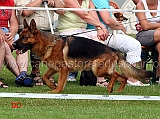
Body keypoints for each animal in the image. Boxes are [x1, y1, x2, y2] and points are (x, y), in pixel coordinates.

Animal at [12, 19, 154, 93]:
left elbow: (60, 83)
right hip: (100, 70)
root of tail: (114, 50)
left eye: (24, 38)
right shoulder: (54, 68)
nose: (13, 44)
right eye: (20, 36)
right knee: (122, 76)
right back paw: (117, 91)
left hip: (97, 69)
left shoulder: (63, 69)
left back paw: (110, 88)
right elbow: (45, 77)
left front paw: (56, 91)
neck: (49, 44)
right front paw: (52, 86)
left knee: (116, 75)